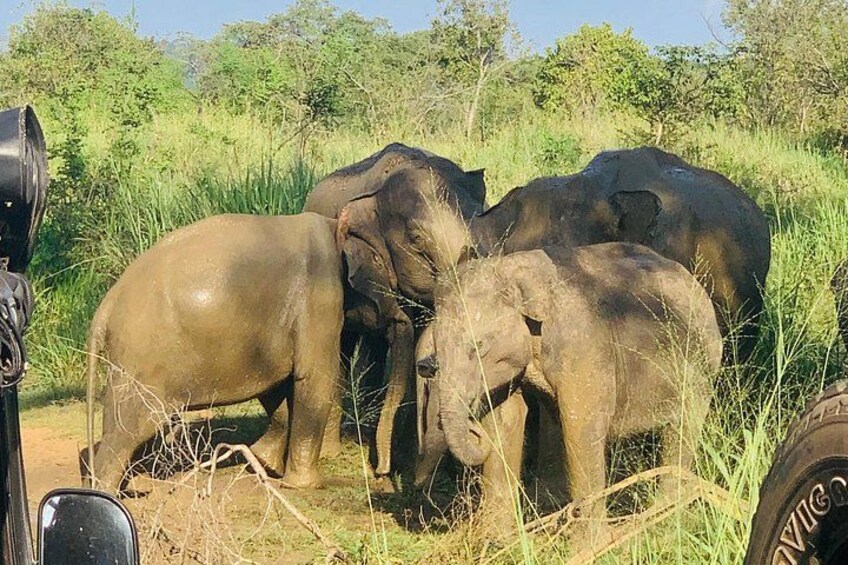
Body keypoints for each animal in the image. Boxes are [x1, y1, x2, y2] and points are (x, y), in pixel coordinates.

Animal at [83, 212, 344, 494]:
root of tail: (107, 305)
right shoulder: (320, 297)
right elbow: (314, 377)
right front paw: (305, 486)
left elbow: (277, 385)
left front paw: (266, 463)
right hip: (141, 356)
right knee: (133, 426)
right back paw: (106, 492)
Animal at [422, 243, 723, 537]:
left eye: (478, 345)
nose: (472, 428)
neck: (510, 263)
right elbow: (505, 420)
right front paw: (496, 540)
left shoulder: (584, 346)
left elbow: (581, 424)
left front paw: (591, 544)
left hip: (702, 364)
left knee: (684, 427)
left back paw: (666, 519)